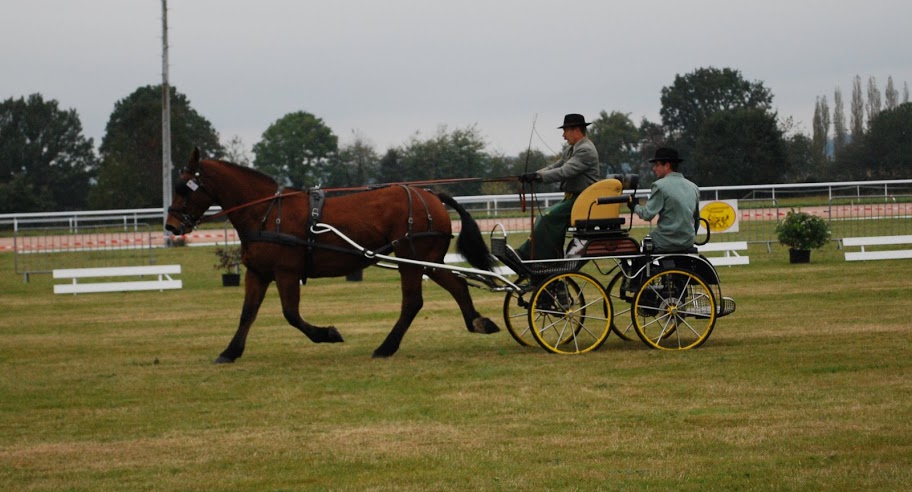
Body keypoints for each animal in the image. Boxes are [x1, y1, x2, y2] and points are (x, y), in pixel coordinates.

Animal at [167, 147, 502, 362]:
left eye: (184, 188)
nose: (171, 226)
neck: (267, 213)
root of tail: (431, 195)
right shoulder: (258, 273)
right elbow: (247, 313)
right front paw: (230, 352)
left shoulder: (286, 273)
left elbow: (291, 314)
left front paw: (327, 334)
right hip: (428, 261)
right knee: (457, 285)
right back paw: (478, 322)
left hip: (413, 260)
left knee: (412, 302)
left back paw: (386, 347)